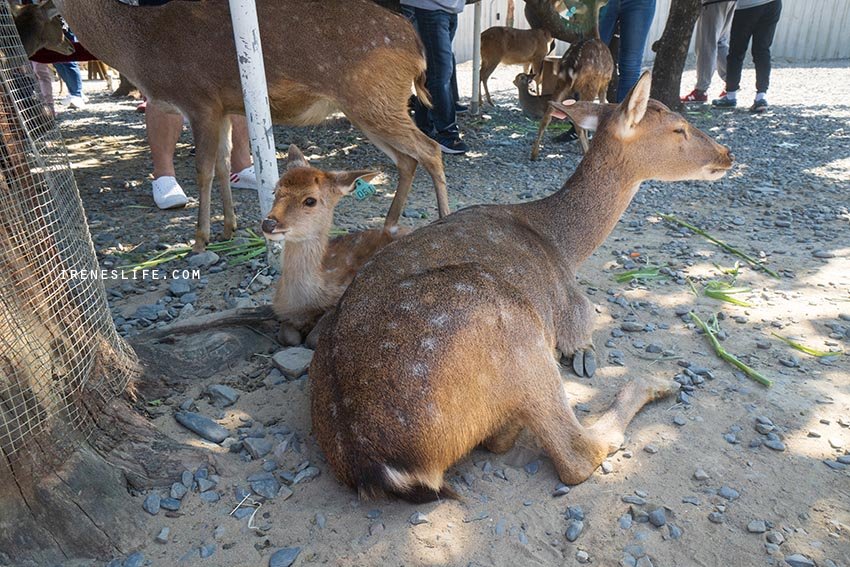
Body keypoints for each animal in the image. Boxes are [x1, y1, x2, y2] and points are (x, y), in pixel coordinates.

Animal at [51, 0, 450, 251]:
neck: (141, 47)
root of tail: (415, 45)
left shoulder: (200, 101)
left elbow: (203, 168)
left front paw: (200, 239)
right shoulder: (226, 108)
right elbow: (223, 162)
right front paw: (229, 228)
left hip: (373, 97)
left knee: (429, 149)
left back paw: (445, 221)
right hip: (371, 105)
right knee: (407, 159)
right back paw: (389, 225)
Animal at [308, 73, 732, 504]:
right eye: (678, 128)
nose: (726, 154)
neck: (564, 245)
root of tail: (380, 467)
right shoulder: (574, 308)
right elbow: (583, 335)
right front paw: (587, 356)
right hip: (514, 329)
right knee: (574, 453)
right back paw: (657, 382)